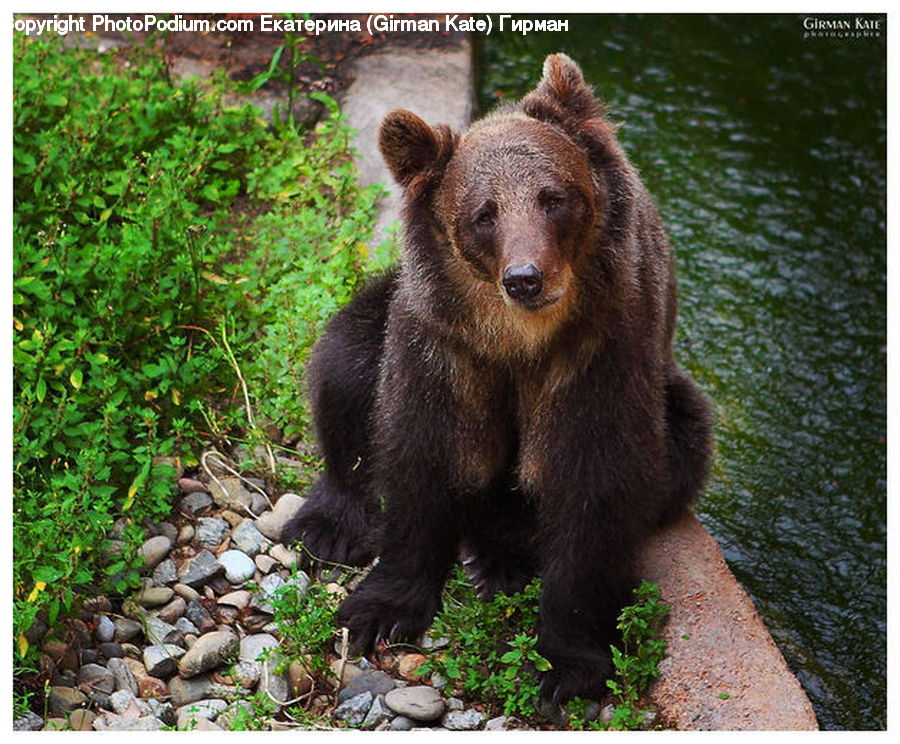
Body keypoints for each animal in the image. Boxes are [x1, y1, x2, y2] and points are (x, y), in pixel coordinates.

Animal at [283, 53, 712, 706]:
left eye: (553, 198)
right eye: (483, 214)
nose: (525, 277)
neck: (516, 340)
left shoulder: (600, 352)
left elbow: (595, 483)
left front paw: (568, 664)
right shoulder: (444, 348)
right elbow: (418, 448)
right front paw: (378, 611)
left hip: (671, 398)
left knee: (682, 446)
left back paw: (503, 557)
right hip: (379, 317)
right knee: (343, 367)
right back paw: (328, 527)